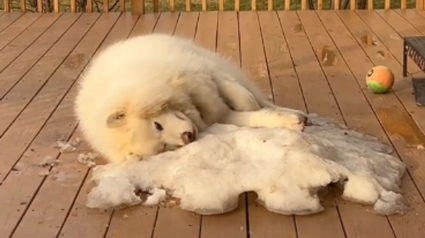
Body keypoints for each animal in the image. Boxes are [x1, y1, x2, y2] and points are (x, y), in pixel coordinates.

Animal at [74, 33, 306, 164]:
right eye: (163, 147)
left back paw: (297, 113)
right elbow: (252, 116)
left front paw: (286, 117)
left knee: (258, 97)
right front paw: (285, 122)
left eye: (157, 125)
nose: (188, 137)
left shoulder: (204, 73)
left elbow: (245, 100)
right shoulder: (220, 114)